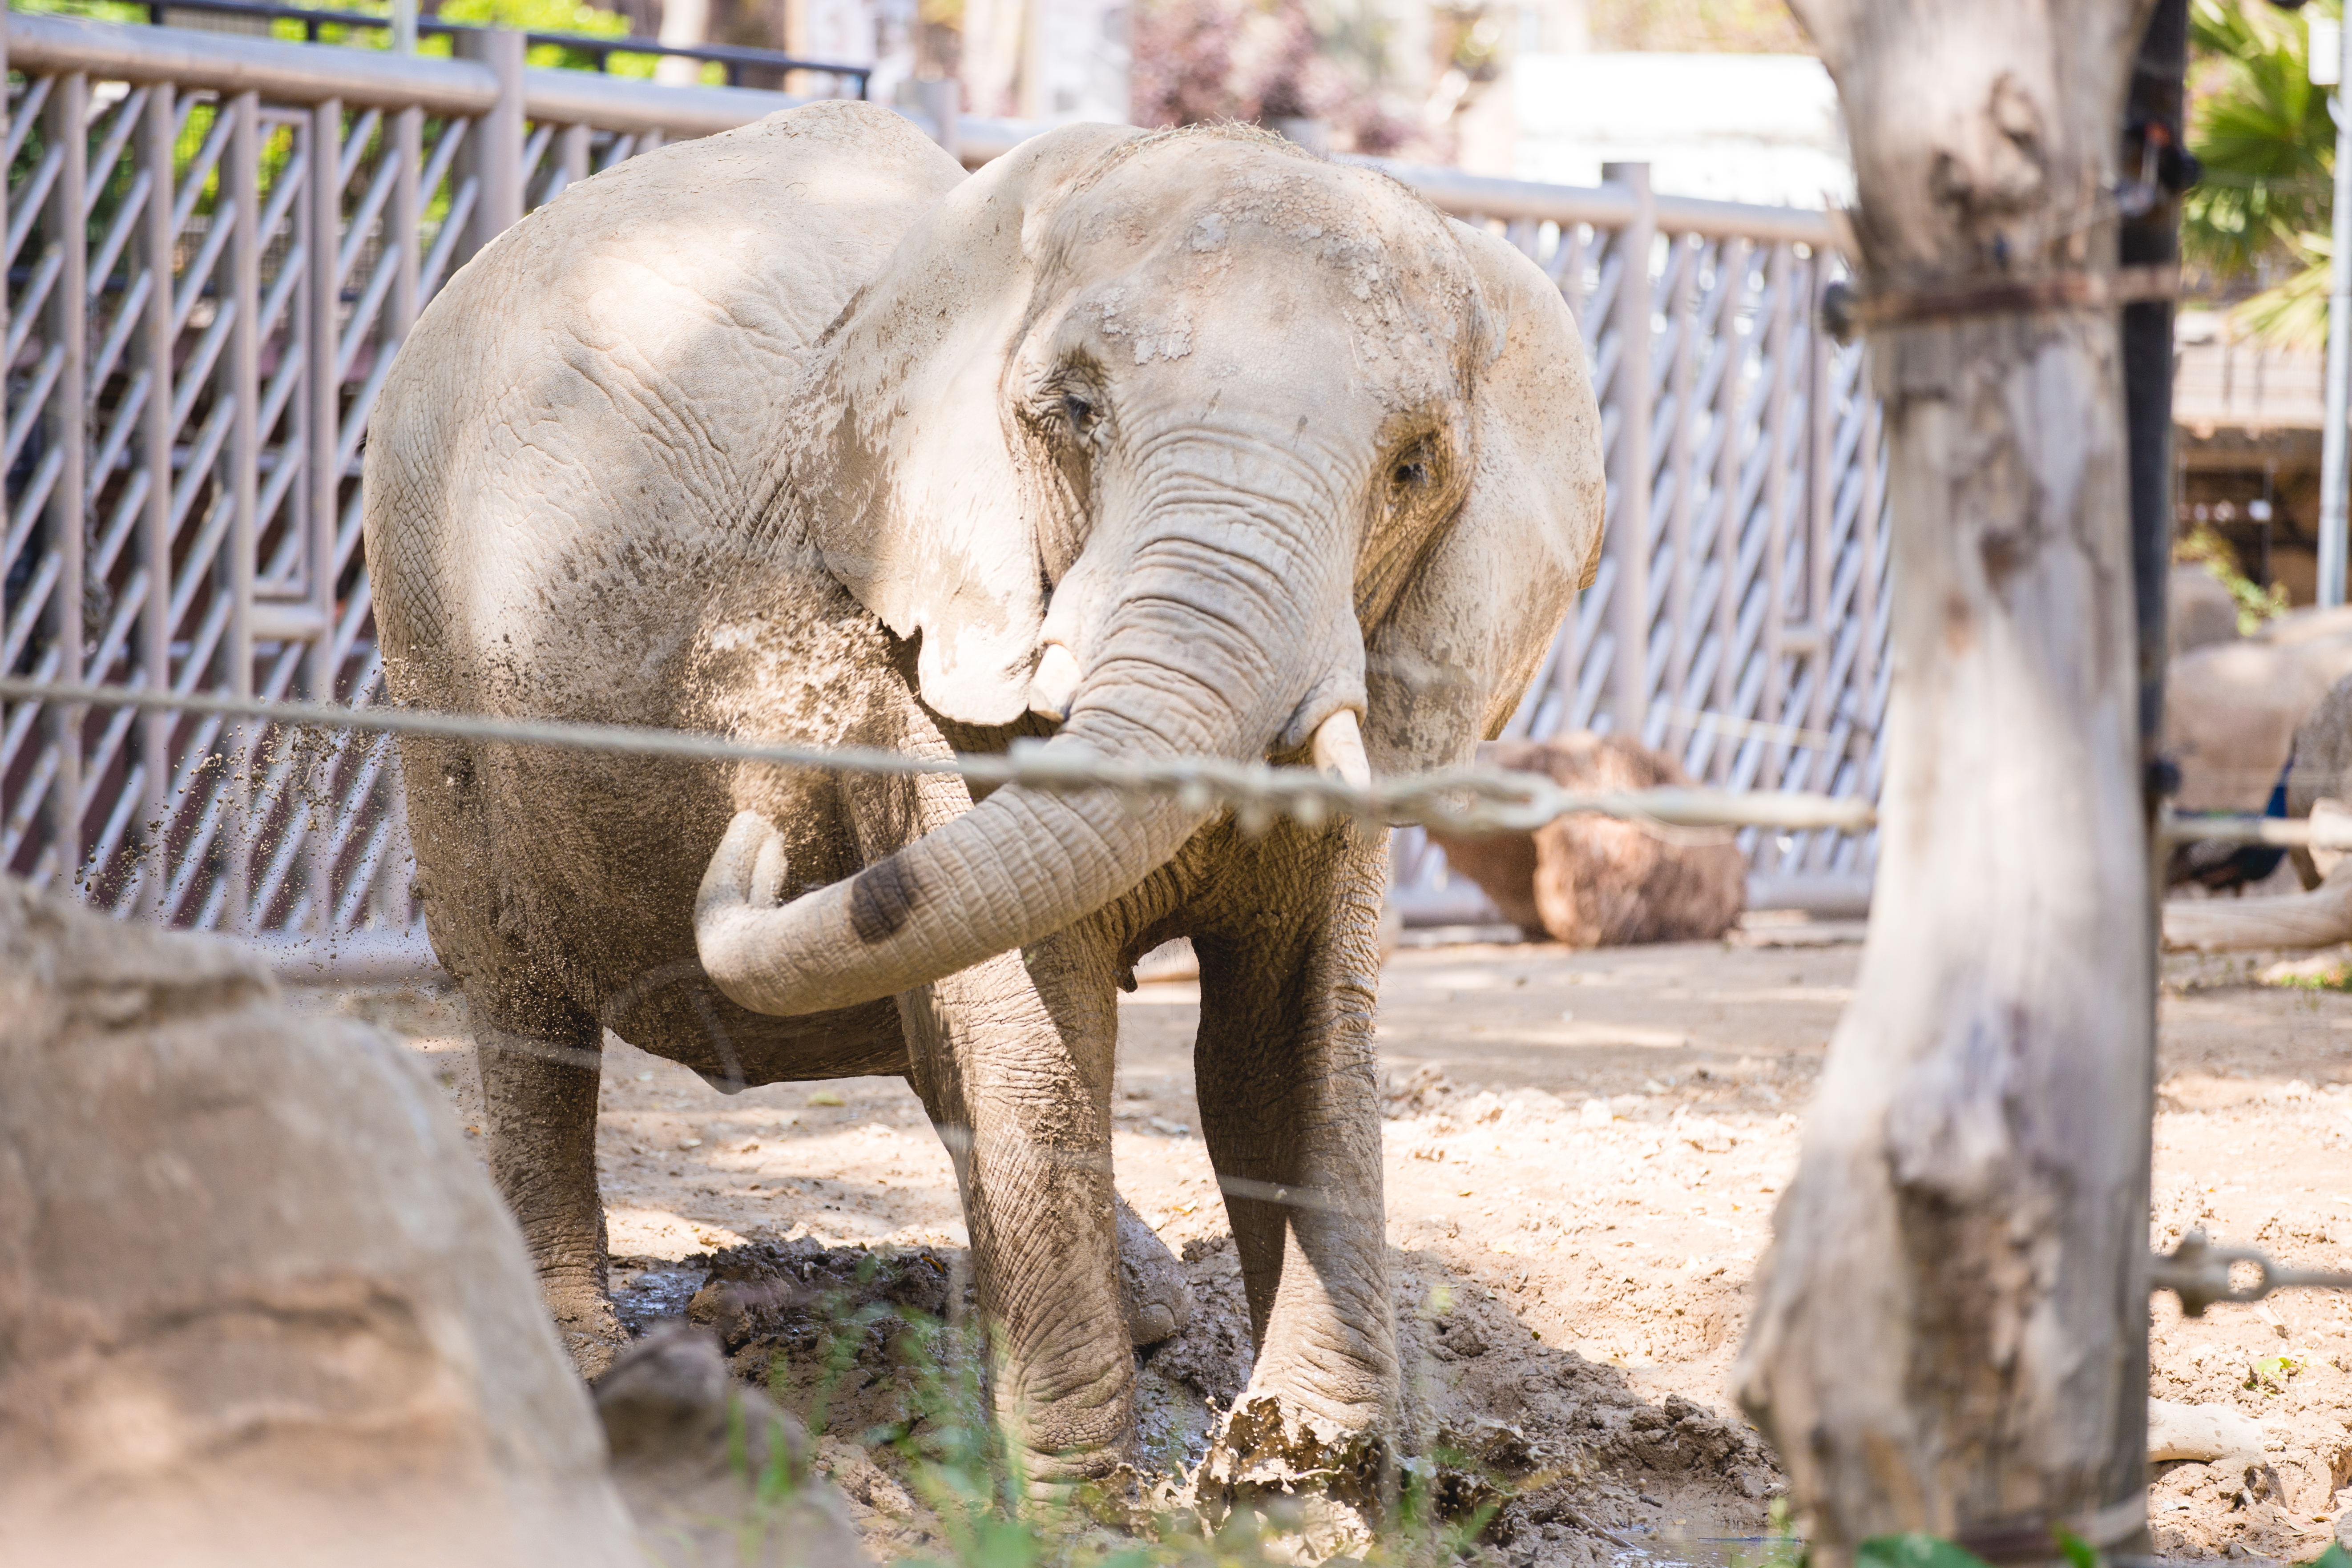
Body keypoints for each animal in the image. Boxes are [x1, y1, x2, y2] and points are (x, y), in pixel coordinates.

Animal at [367, 104, 1609, 1495]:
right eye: (1073, 411)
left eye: (1413, 466)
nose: (758, 816)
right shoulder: (928, 653)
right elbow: (1030, 1020)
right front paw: (1080, 1503)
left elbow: (1284, 1035)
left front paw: (1302, 1478)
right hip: (429, 627)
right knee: (524, 1009)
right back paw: (577, 1359)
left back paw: (1148, 1307)